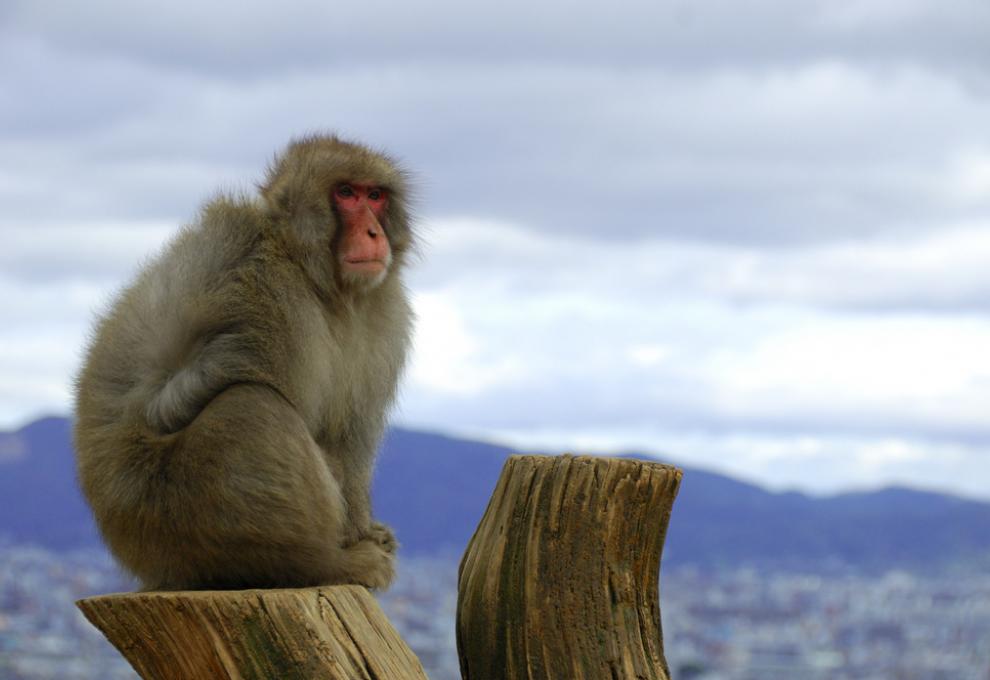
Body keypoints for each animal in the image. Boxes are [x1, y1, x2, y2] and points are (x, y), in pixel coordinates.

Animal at [73, 133, 414, 588]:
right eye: (346, 193)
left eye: (375, 196)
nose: (374, 232)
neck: (317, 279)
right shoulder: (274, 299)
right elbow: (185, 395)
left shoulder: (384, 317)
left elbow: (350, 437)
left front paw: (368, 529)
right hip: (170, 520)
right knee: (253, 405)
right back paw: (322, 564)